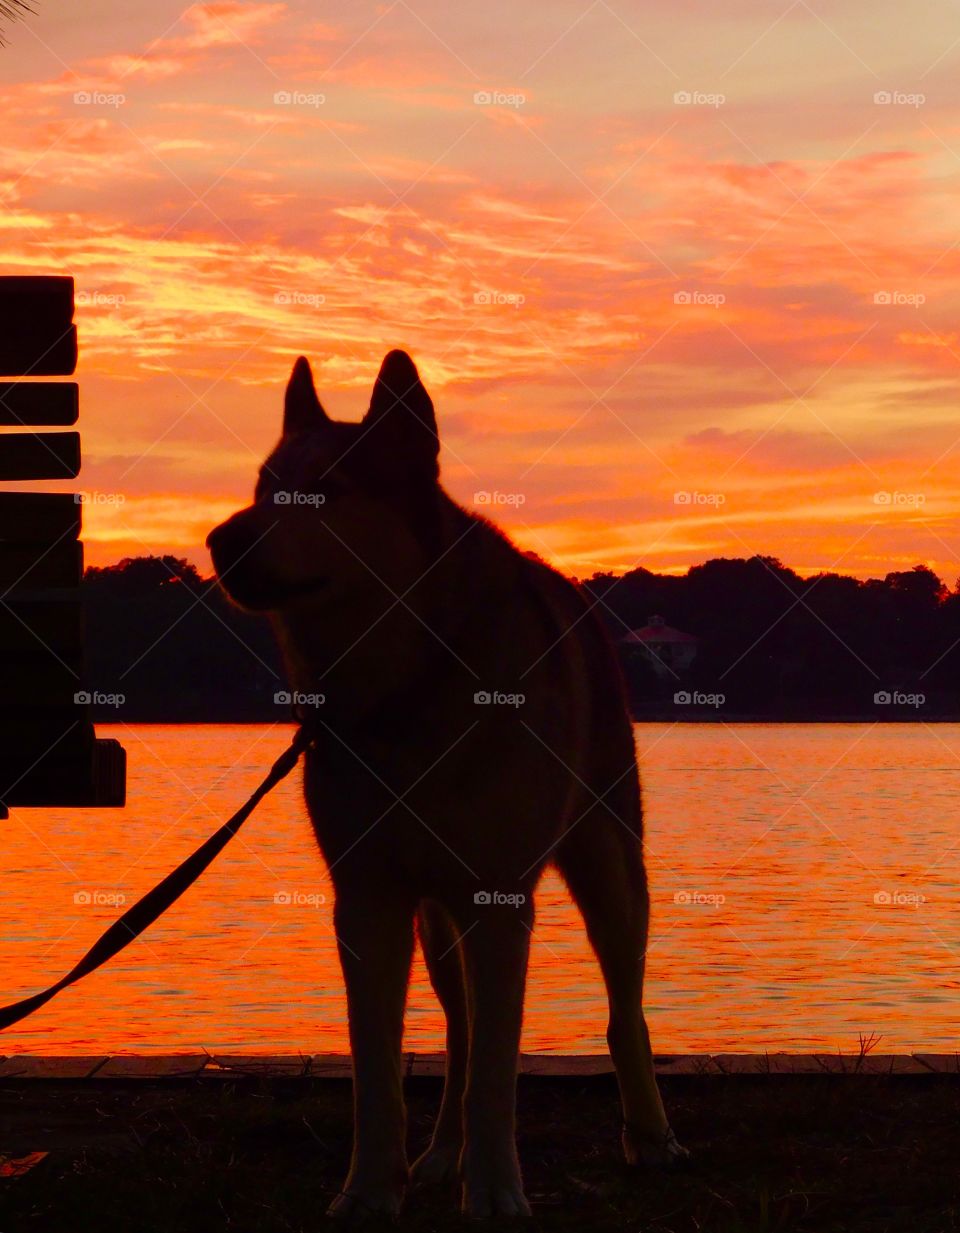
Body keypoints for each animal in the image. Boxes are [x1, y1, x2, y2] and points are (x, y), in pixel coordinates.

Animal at [208, 355, 685, 1223]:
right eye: (263, 487)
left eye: (324, 488)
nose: (221, 538)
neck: (401, 687)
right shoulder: (367, 898)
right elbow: (379, 1070)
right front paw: (372, 1187)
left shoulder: (498, 899)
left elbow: (498, 1072)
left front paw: (494, 1191)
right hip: (437, 922)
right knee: (460, 1035)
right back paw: (441, 1154)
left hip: (610, 869)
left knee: (622, 1008)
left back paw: (650, 1133)